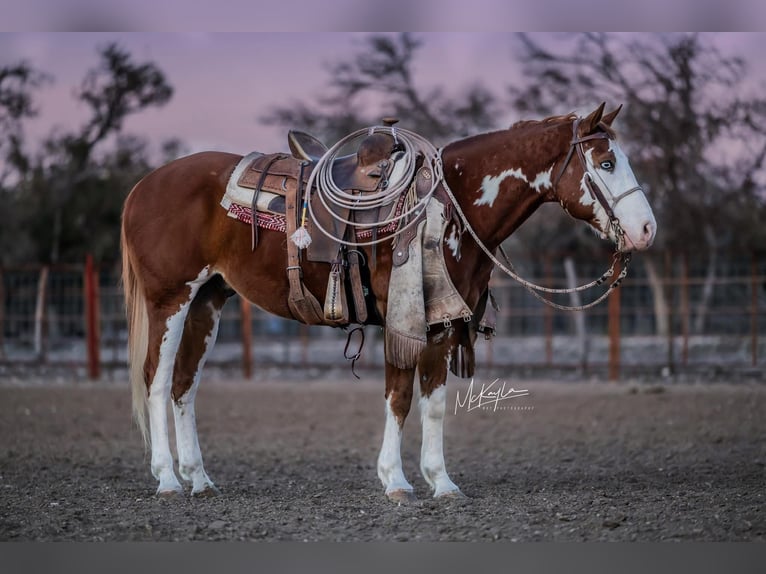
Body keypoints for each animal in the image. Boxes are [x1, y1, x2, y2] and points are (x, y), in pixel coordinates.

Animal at [123, 106, 656, 502]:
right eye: (606, 163)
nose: (647, 229)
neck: (447, 203)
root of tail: (142, 187)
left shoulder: (444, 322)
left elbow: (434, 402)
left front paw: (442, 483)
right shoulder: (403, 319)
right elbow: (399, 398)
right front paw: (396, 482)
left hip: (207, 300)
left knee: (185, 385)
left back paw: (199, 479)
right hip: (169, 299)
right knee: (156, 379)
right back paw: (167, 479)